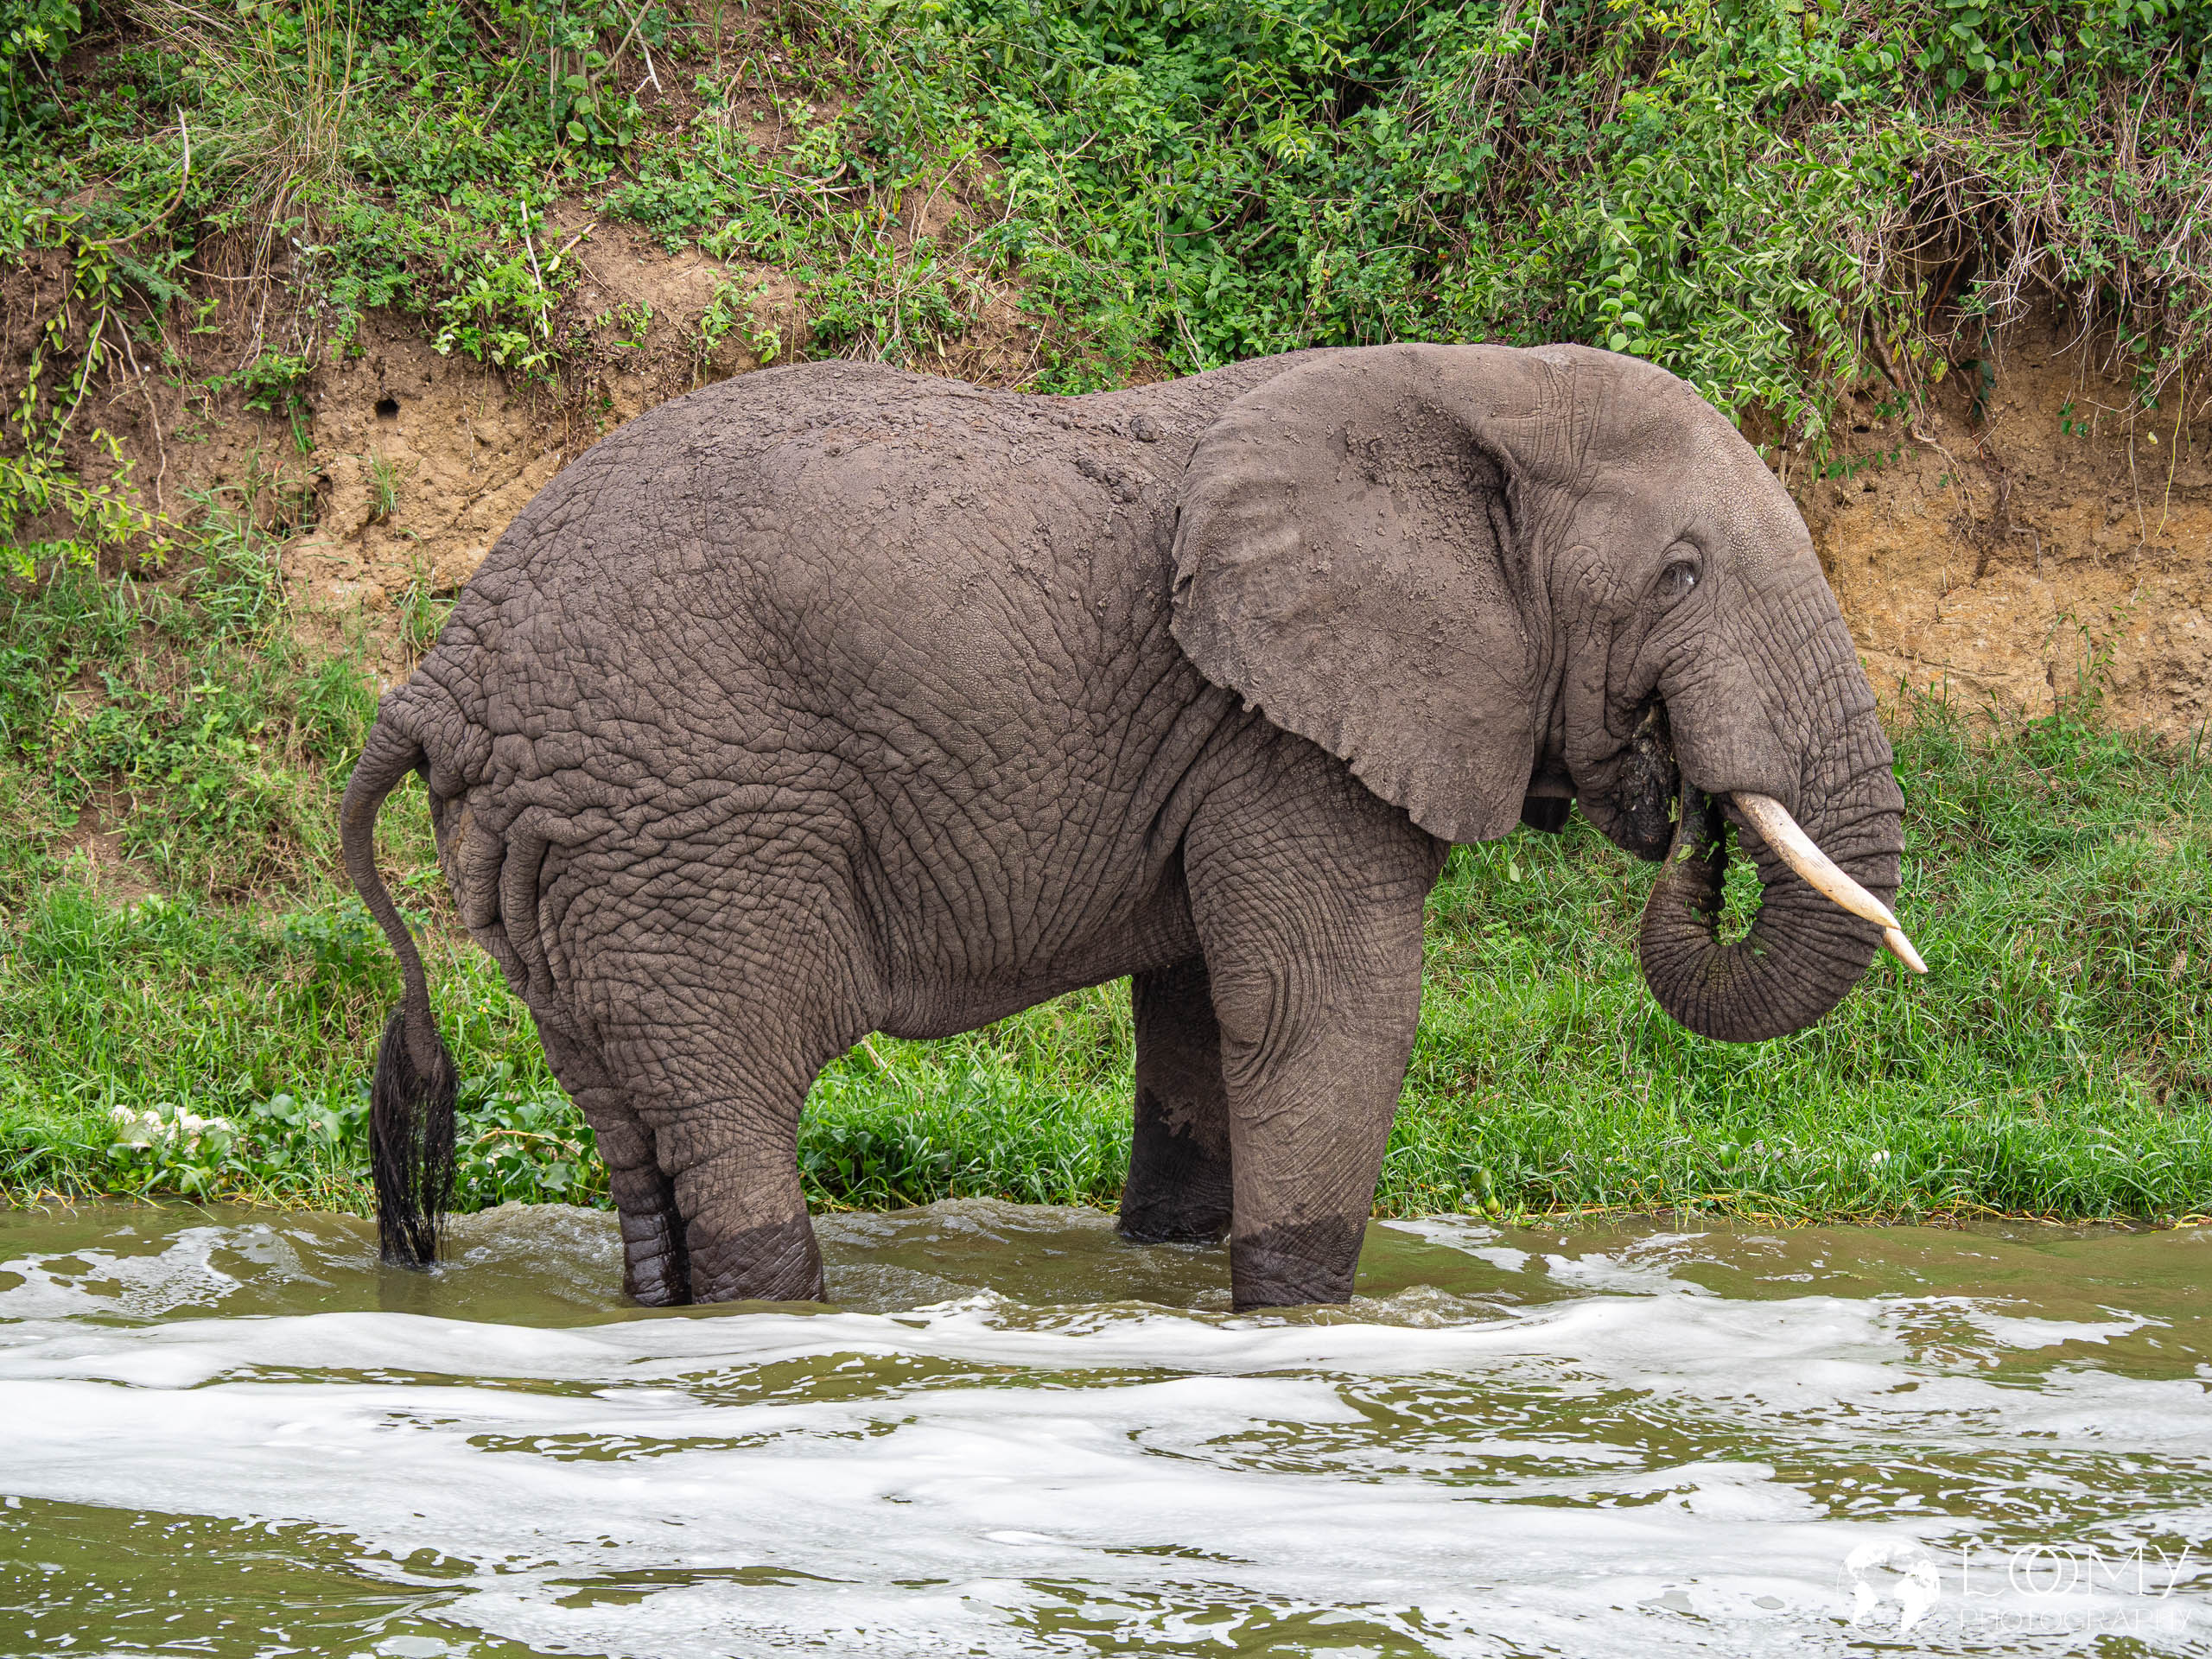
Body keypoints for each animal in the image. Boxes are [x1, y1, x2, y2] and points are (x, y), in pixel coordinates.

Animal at [342, 342, 1919, 1310]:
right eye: (1681, 574)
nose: (1687, 801)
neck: (1472, 382)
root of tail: (440, 673)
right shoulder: (1279, 735)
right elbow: (1323, 1007)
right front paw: (1296, 1318)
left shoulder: (1227, 743)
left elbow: (1202, 1017)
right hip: (680, 828)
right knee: (732, 1112)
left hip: (565, 850)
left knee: (632, 1126)